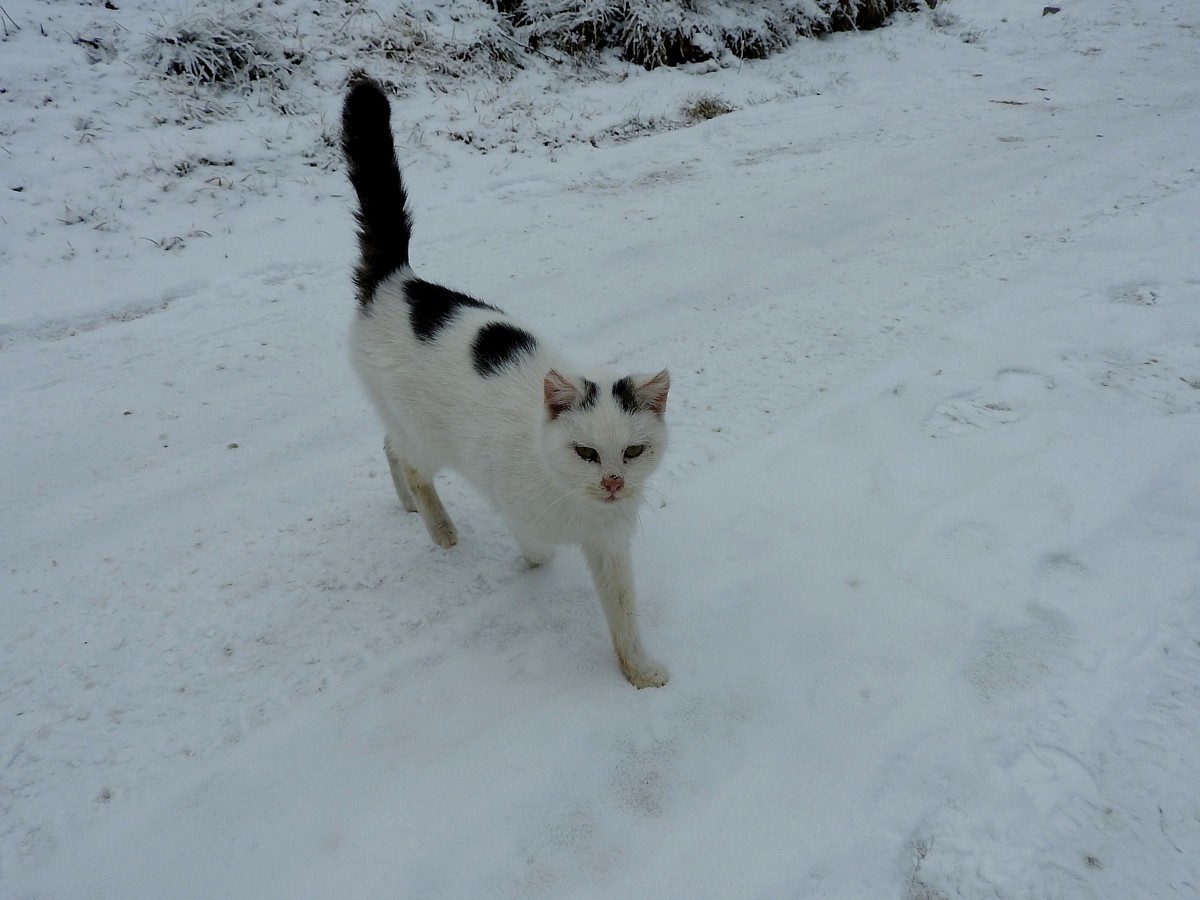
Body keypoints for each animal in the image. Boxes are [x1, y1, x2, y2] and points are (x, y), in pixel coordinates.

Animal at [340, 79, 676, 691]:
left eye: (634, 451)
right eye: (586, 452)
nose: (614, 482)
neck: (576, 501)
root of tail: (399, 282)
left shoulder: (612, 544)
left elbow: (623, 613)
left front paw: (638, 671)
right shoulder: (525, 513)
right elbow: (539, 552)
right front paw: (532, 565)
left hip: (405, 421)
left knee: (389, 445)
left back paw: (407, 507)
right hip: (426, 432)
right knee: (413, 462)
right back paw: (441, 530)